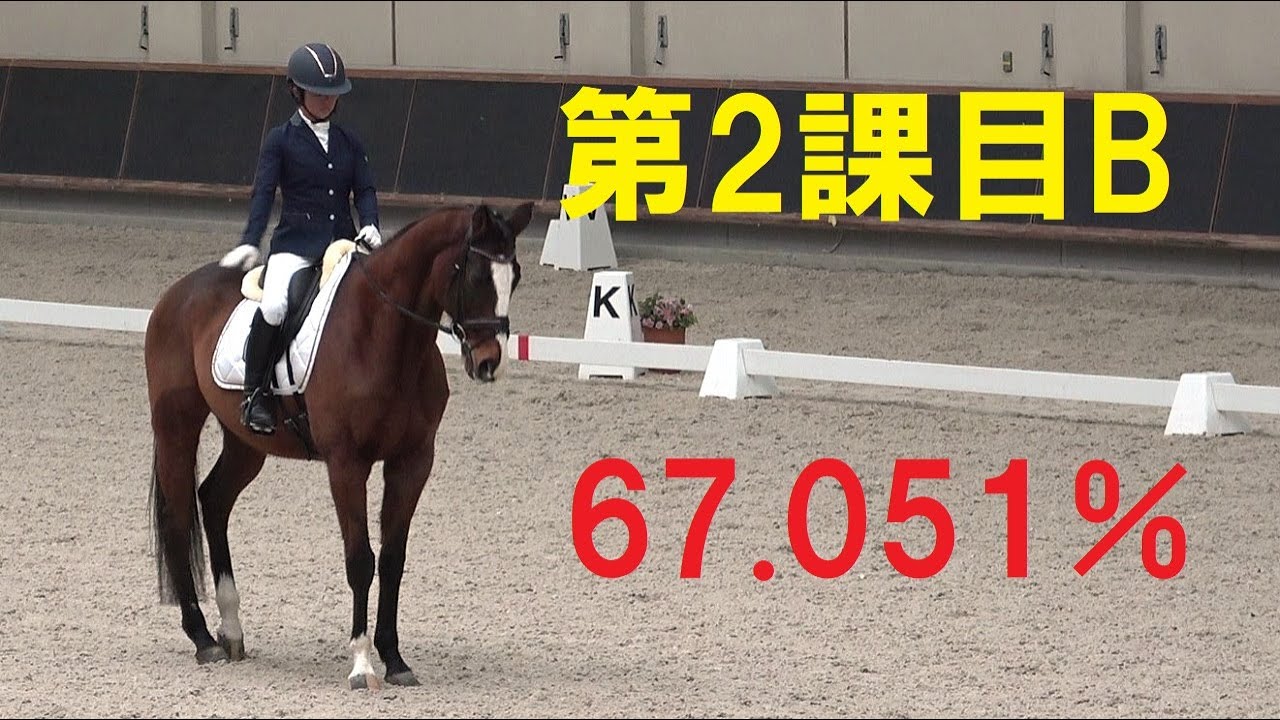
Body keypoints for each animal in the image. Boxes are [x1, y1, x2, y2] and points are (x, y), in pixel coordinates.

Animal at [143, 201, 534, 689]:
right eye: (478, 275)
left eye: (514, 276)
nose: (489, 365)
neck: (385, 336)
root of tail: (177, 293)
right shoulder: (347, 464)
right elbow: (360, 560)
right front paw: (362, 664)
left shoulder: (412, 462)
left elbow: (392, 560)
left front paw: (395, 659)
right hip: (176, 427)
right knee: (179, 514)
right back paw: (202, 638)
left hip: (245, 443)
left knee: (213, 500)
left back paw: (231, 630)